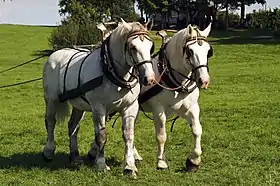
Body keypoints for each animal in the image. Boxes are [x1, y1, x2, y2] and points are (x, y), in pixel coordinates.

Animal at [42, 19, 155, 177]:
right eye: (133, 47)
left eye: (150, 47)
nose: (149, 79)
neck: (112, 73)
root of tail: (54, 54)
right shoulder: (98, 108)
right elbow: (101, 136)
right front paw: (101, 164)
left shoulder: (130, 107)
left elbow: (129, 135)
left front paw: (129, 166)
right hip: (51, 99)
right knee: (50, 122)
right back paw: (48, 151)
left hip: (78, 105)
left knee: (73, 126)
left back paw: (75, 156)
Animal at [135, 22, 213, 171]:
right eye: (190, 51)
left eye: (208, 51)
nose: (204, 81)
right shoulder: (158, 110)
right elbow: (161, 136)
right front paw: (161, 161)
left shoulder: (192, 108)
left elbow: (197, 130)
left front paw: (194, 160)